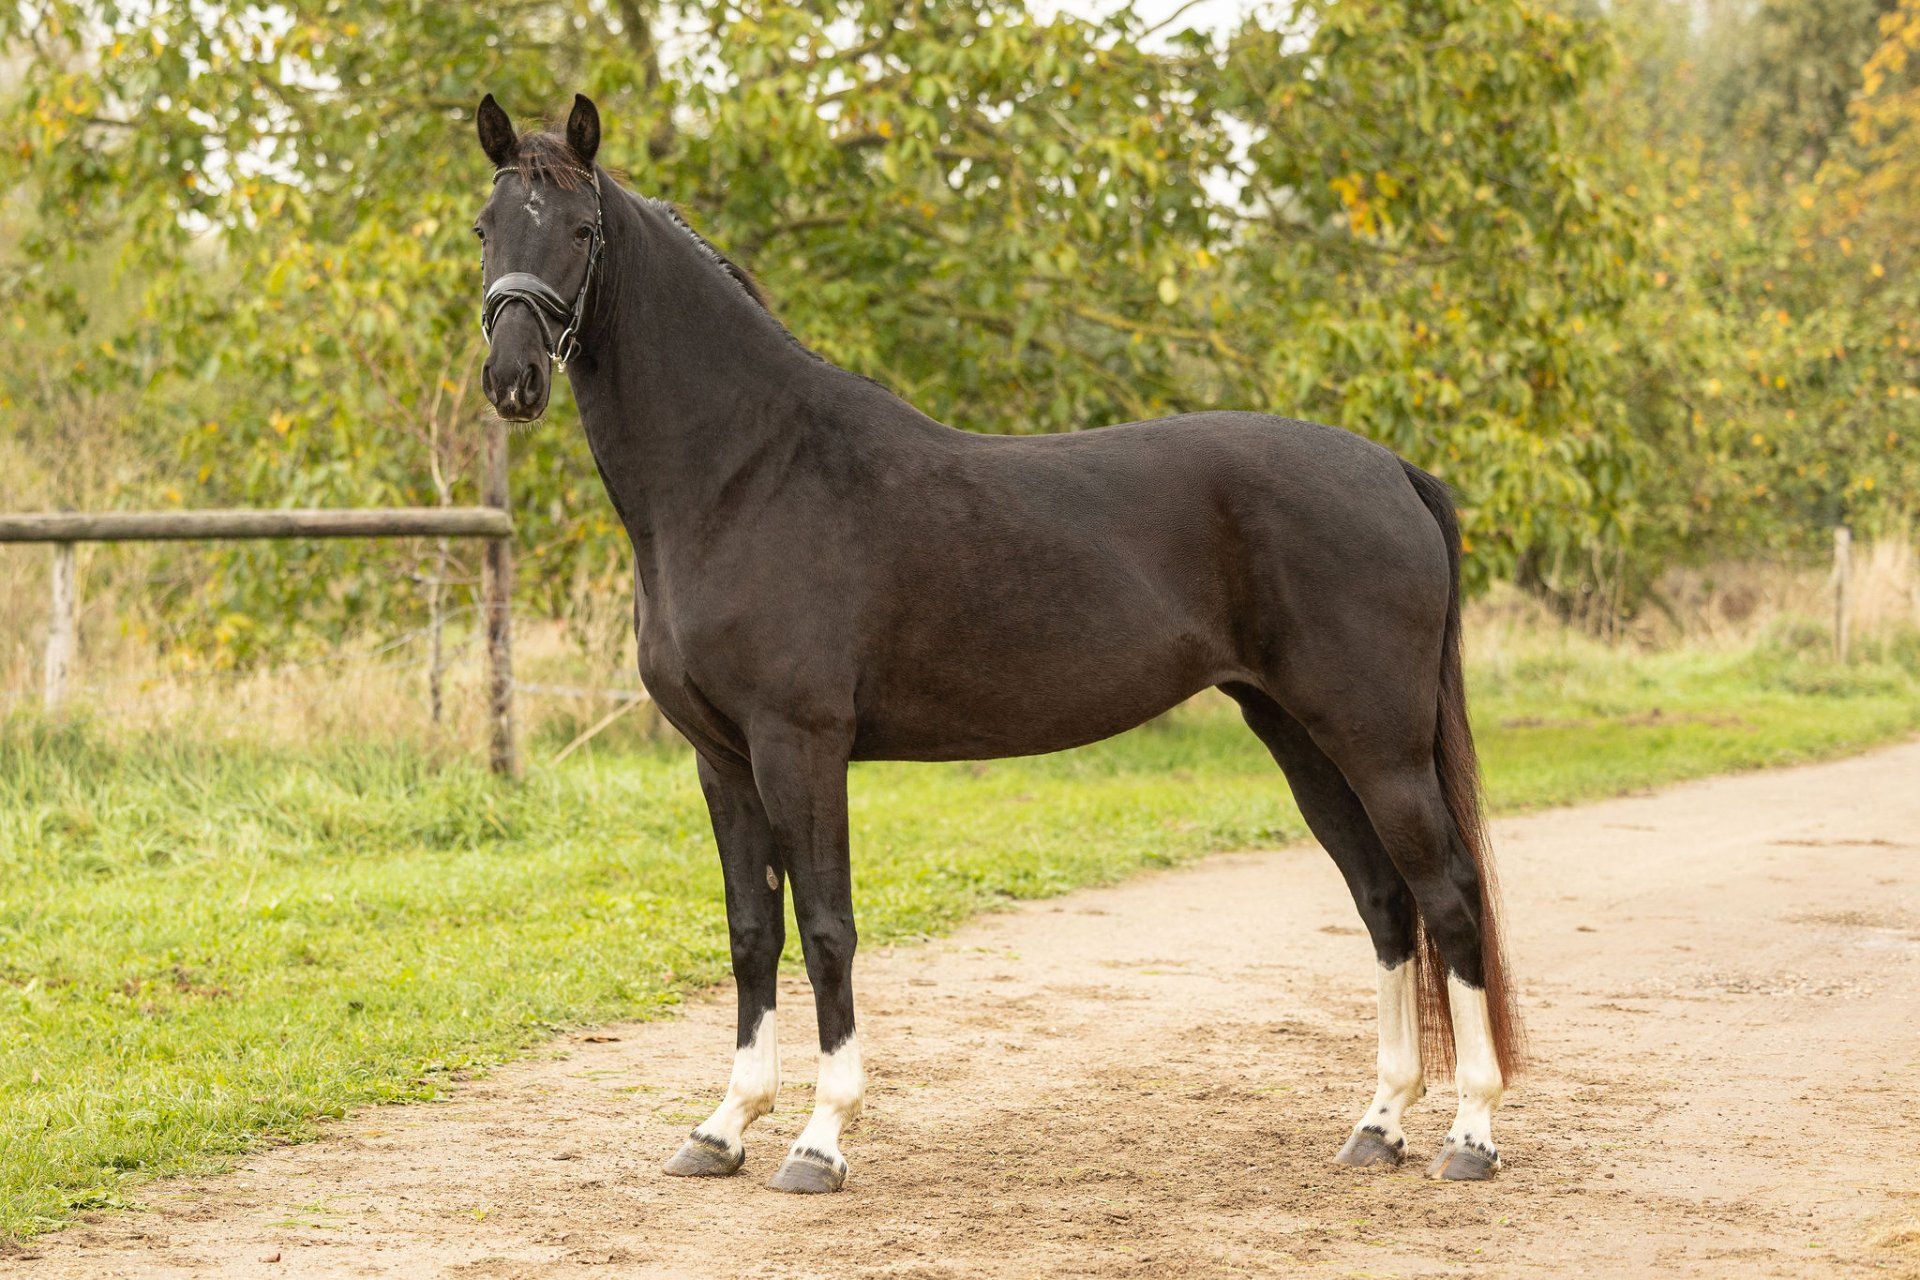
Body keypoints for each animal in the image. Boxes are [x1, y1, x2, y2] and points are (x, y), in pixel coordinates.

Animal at [471, 93, 1524, 1194]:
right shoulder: (721, 756)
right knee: (1384, 901)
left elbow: (829, 929)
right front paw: (722, 1128)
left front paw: (820, 1138)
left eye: (580, 231)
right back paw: (1380, 1123)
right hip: (1301, 736)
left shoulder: (800, 744)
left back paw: (1470, 1134)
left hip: (1379, 743)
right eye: (486, 227)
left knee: (1450, 898)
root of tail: (1393, 469)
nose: (512, 378)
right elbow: (752, 931)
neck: (746, 473)